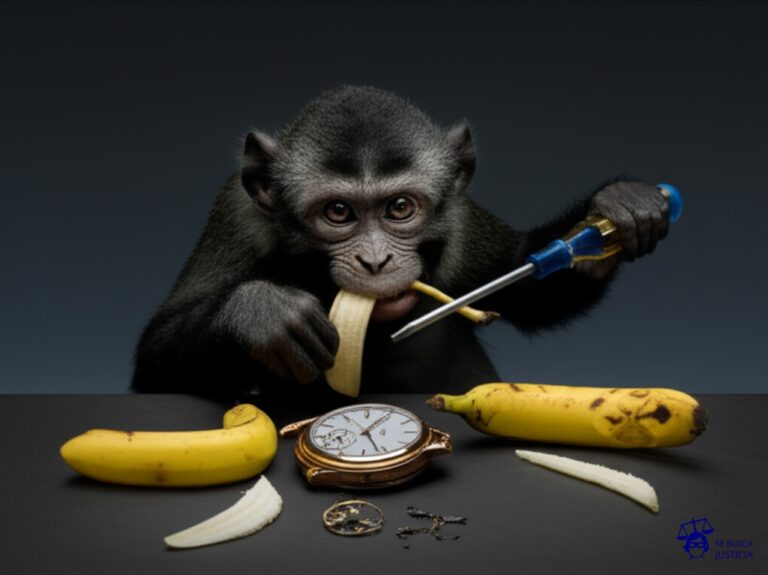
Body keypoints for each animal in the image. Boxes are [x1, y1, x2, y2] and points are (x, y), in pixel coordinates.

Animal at [130, 86, 670, 405]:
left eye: (400, 208)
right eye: (338, 212)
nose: (375, 259)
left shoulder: (460, 217)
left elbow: (528, 283)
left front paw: (618, 207)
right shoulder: (237, 216)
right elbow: (156, 366)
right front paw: (260, 312)